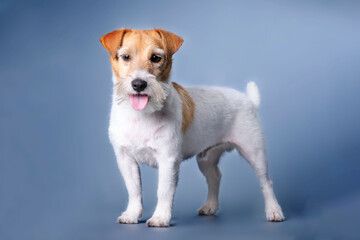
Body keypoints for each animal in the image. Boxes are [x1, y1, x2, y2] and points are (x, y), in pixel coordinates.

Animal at [100, 28, 284, 227]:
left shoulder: (168, 160)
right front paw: (133, 214)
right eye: (126, 56)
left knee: (266, 182)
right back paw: (210, 206)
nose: (139, 84)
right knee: (215, 177)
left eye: (156, 58)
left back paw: (274, 211)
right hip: (206, 158)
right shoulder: (126, 159)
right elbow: (134, 190)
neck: (141, 115)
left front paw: (160, 217)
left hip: (254, 152)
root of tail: (249, 100)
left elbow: (163, 191)